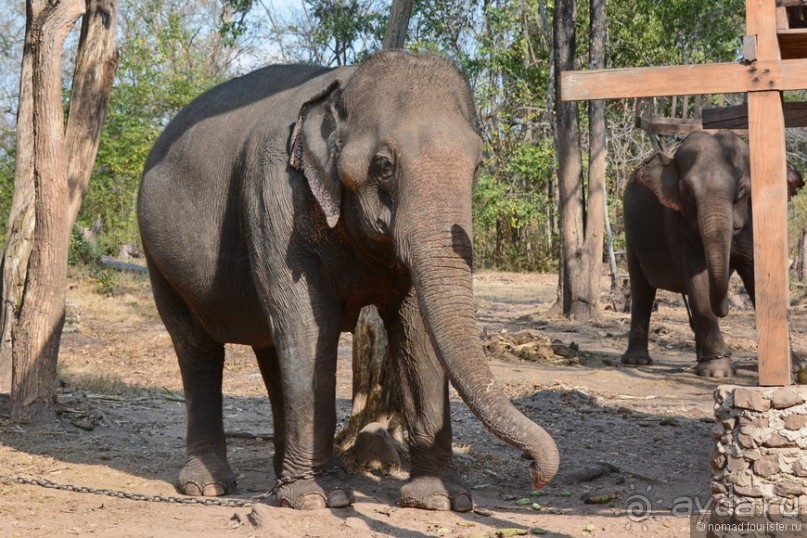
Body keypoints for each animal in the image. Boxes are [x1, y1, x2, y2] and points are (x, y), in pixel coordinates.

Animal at [139, 50, 560, 510]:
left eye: (478, 164)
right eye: (384, 165)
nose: (535, 473)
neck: (344, 85)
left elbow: (417, 332)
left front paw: (439, 499)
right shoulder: (274, 194)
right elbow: (311, 327)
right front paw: (318, 498)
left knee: (271, 348)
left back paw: (281, 473)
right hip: (157, 257)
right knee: (199, 349)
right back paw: (209, 485)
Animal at [620, 131, 800, 376]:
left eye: (741, 190)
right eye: (686, 193)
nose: (724, 310)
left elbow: (756, 276)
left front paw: (795, 368)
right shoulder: (678, 223)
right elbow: (699, 281)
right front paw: (718, 372)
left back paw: (698, 361)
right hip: (631, 232)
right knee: (642, 289)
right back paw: (637, 361)